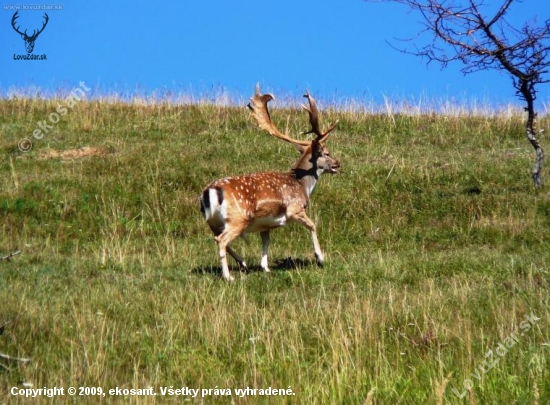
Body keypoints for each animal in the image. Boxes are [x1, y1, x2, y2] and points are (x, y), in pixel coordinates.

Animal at [201, 84, 340, 280]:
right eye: (326, 153)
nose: (337, 164)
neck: (302, 185)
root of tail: (210, 191)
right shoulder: (294, 208)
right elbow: (313, 225)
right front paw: (320, 258)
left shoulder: (265, 224)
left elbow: (266, 241)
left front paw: (265, 267)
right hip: (238, 218)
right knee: (221, 241)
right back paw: (228, 276)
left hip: (213, 222)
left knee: (218, 239)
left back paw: (243, 263)